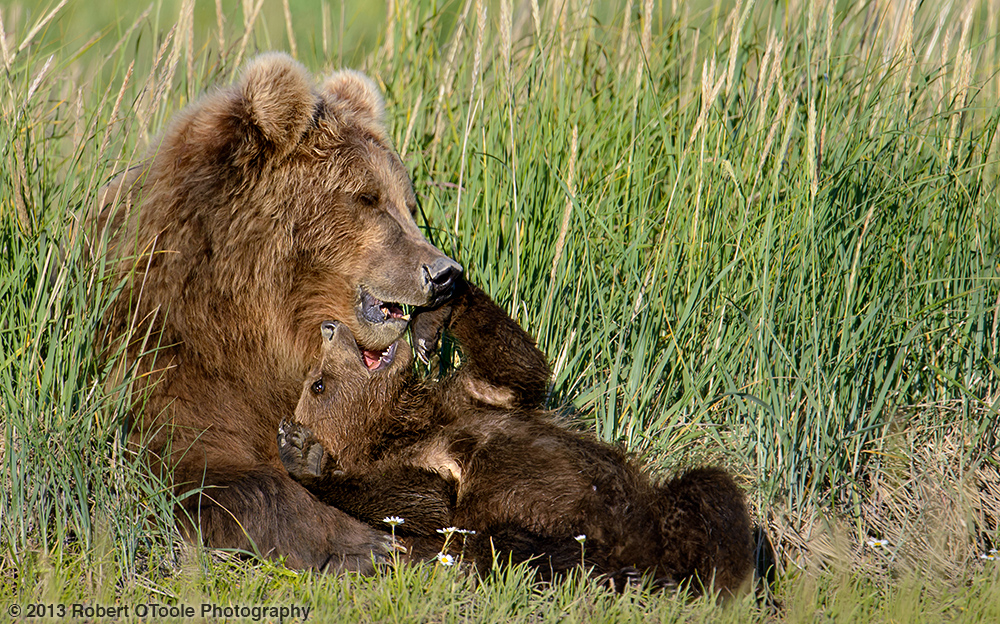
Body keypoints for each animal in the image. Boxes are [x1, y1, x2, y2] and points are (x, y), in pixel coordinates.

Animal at [94, 52, 460, 572]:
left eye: (407, 204)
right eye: (366, 198)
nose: (444, 272)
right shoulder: (162, 357)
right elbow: (207, 465)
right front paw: (359, 542)